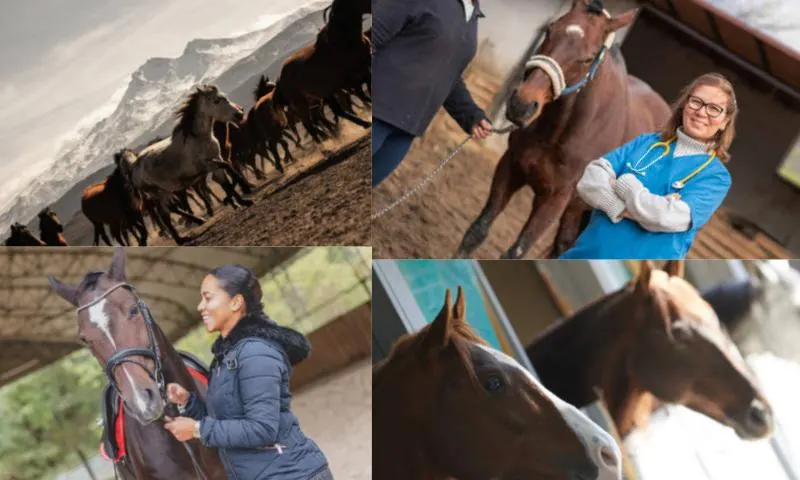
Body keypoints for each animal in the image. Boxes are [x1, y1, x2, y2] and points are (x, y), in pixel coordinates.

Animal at [126, 83, 252, 244]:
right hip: (156, 193)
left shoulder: (216, 160)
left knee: (169, 210)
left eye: (225, 97)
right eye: (217, 100)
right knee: (164, 215)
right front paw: (240, 196)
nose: (239, 114)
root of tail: (134, 166)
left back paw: (195, 224)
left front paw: (242, 201)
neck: (199, 139)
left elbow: (225, 181)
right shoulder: (207, 165)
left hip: (165, 191)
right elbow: (228, 169)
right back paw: (182, 239)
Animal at [456, 0, 668, 258]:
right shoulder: (510, 166)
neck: (559, 133)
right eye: (549, 29)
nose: (521, 105)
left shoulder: (557, 198)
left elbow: (516, 251)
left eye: (588, 58)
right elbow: (477, 231)